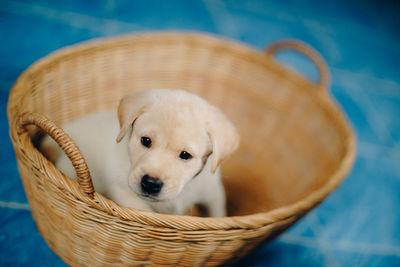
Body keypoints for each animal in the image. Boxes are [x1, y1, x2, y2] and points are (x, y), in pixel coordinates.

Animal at [42, 89, 239, 217]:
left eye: (185, 155)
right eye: (146, 141)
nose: (151, 184)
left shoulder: (213, 193)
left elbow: (218, 214)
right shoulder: (126, 194)